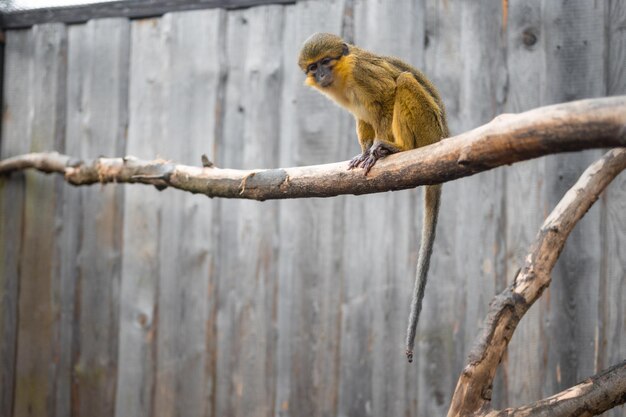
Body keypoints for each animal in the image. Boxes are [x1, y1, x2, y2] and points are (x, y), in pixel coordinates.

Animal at [298, 34, 448, 362]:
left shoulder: (363, 72)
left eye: (325, 62)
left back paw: (398, 148)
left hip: (429, 132)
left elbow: (388, 94)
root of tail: (443, 139)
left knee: (404, 81)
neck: (342, 76)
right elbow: (362, 117)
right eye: (313, 67)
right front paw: (365, 151)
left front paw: (378, 148)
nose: (321, 75)